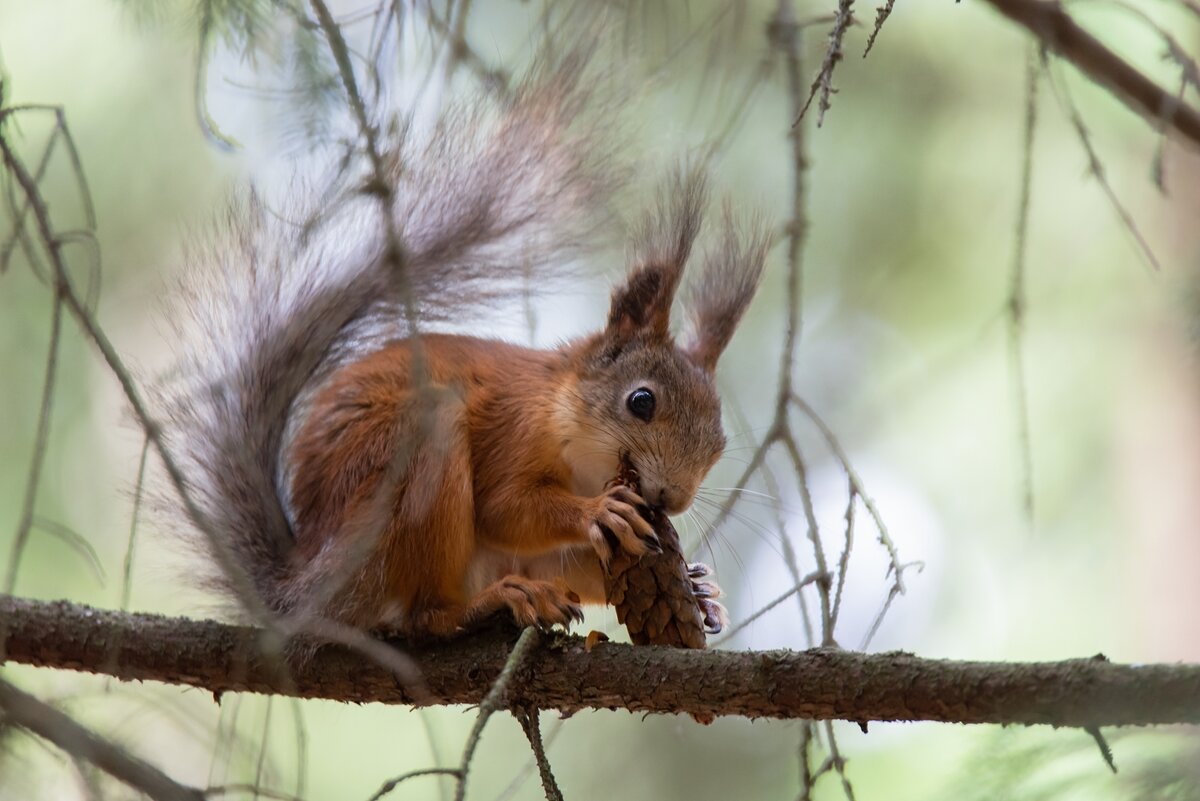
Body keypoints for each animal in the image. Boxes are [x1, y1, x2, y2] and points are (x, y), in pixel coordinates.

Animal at [154, 54, 763, 637]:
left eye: (719, 444)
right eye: (641, 402)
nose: (673, 500)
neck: (567, 426)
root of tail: (309, 589)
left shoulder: (556, 548)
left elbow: (570, 562)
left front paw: (697, 589)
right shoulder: (513, 429)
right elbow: (504, 507)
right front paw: (600, 510)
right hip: (408, 470)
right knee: (422, 614)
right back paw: (486, 605)